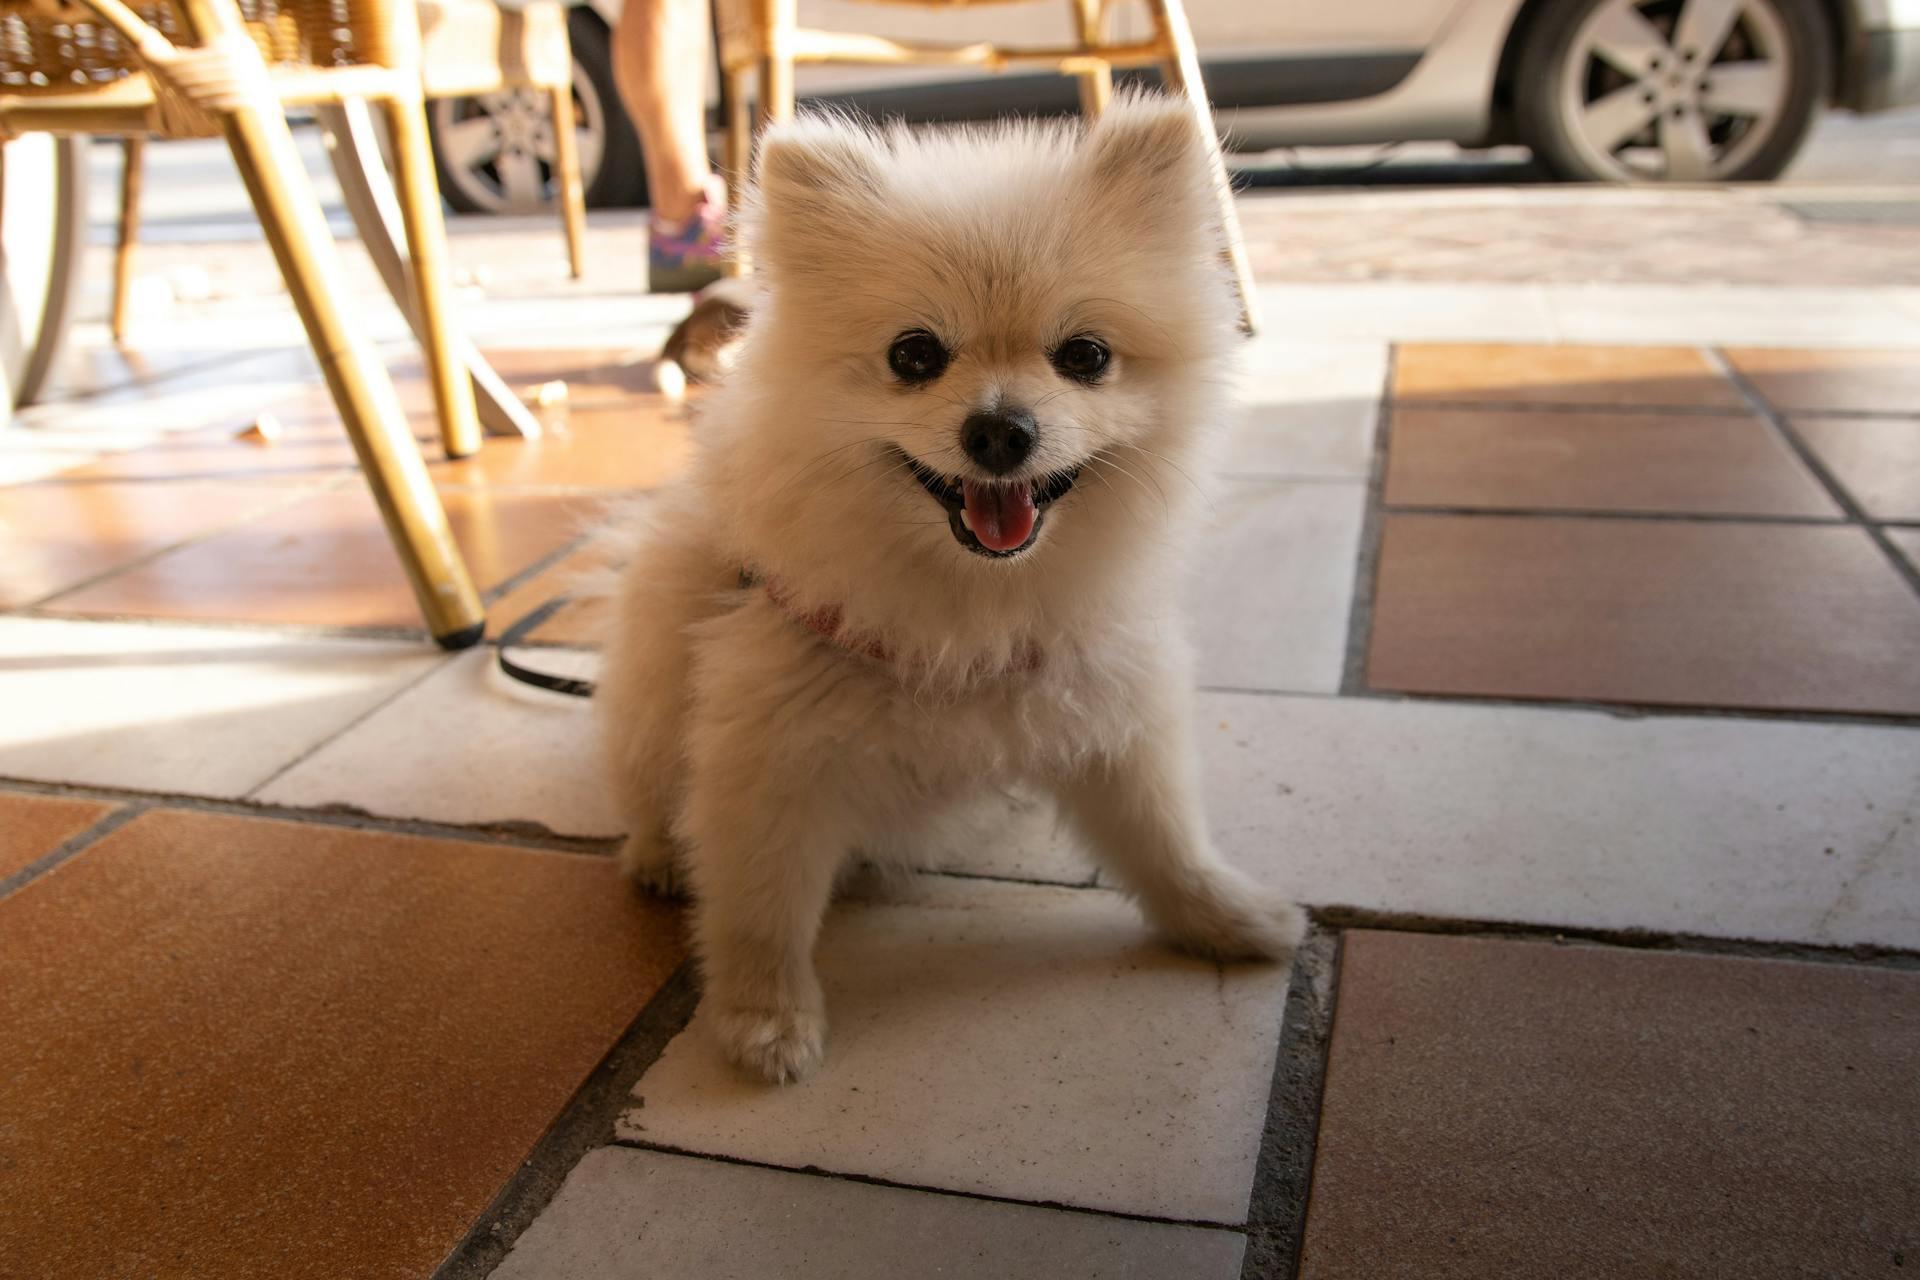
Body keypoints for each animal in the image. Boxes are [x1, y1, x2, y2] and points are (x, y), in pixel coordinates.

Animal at [595, 94, 1305, 1090]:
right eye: (915, 355)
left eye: (1085, 355)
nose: (1001, 430)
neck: (968, 608)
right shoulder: (769, 755)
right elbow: (759, 911)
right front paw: (764, 1022)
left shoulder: (1106, 706)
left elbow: (1164, 839)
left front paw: (1225, 919)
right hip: (658, 679)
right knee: (646, 788)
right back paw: (658, 856)